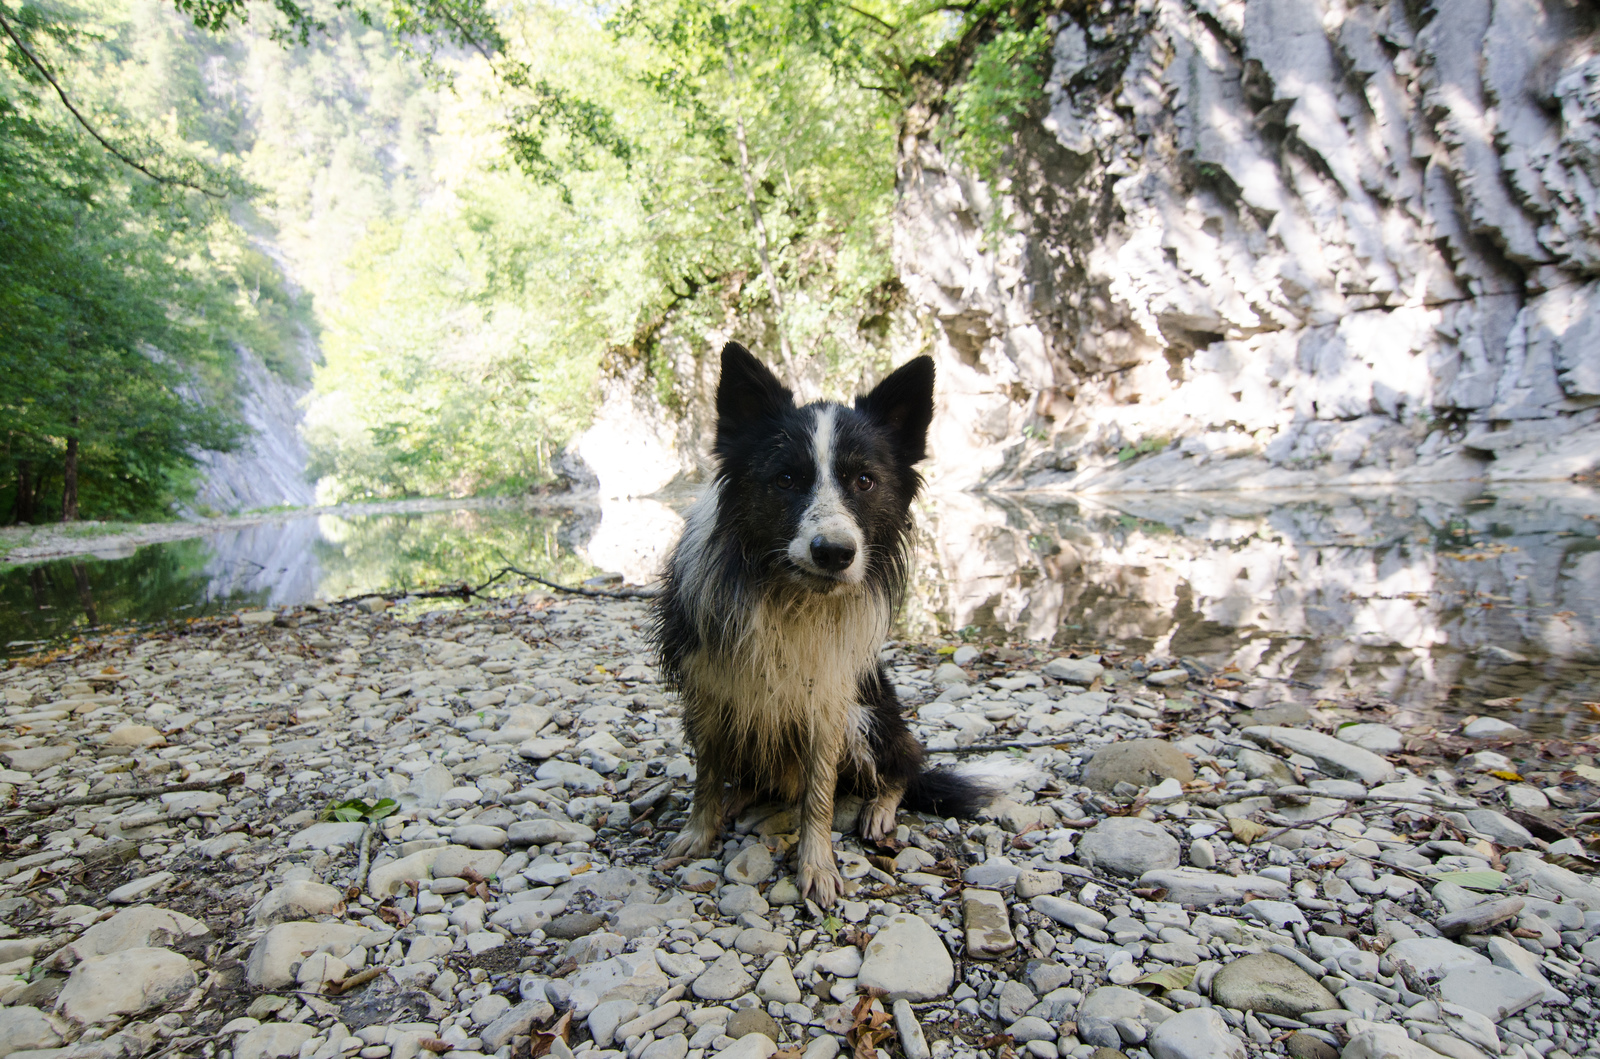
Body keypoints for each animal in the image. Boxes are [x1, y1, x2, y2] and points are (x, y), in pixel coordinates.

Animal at [646, 343, 992, 908]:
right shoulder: (709, 690)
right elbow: (707, 773)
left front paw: (817, 865)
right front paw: (698, 831)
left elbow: (820, 795)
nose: (834, 553)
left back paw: (878, 809)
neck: (793, 598)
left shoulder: (829, 702)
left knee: (904, 766)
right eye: (786, 479)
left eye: (865, 481)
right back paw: (739, 799)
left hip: (869, 716)